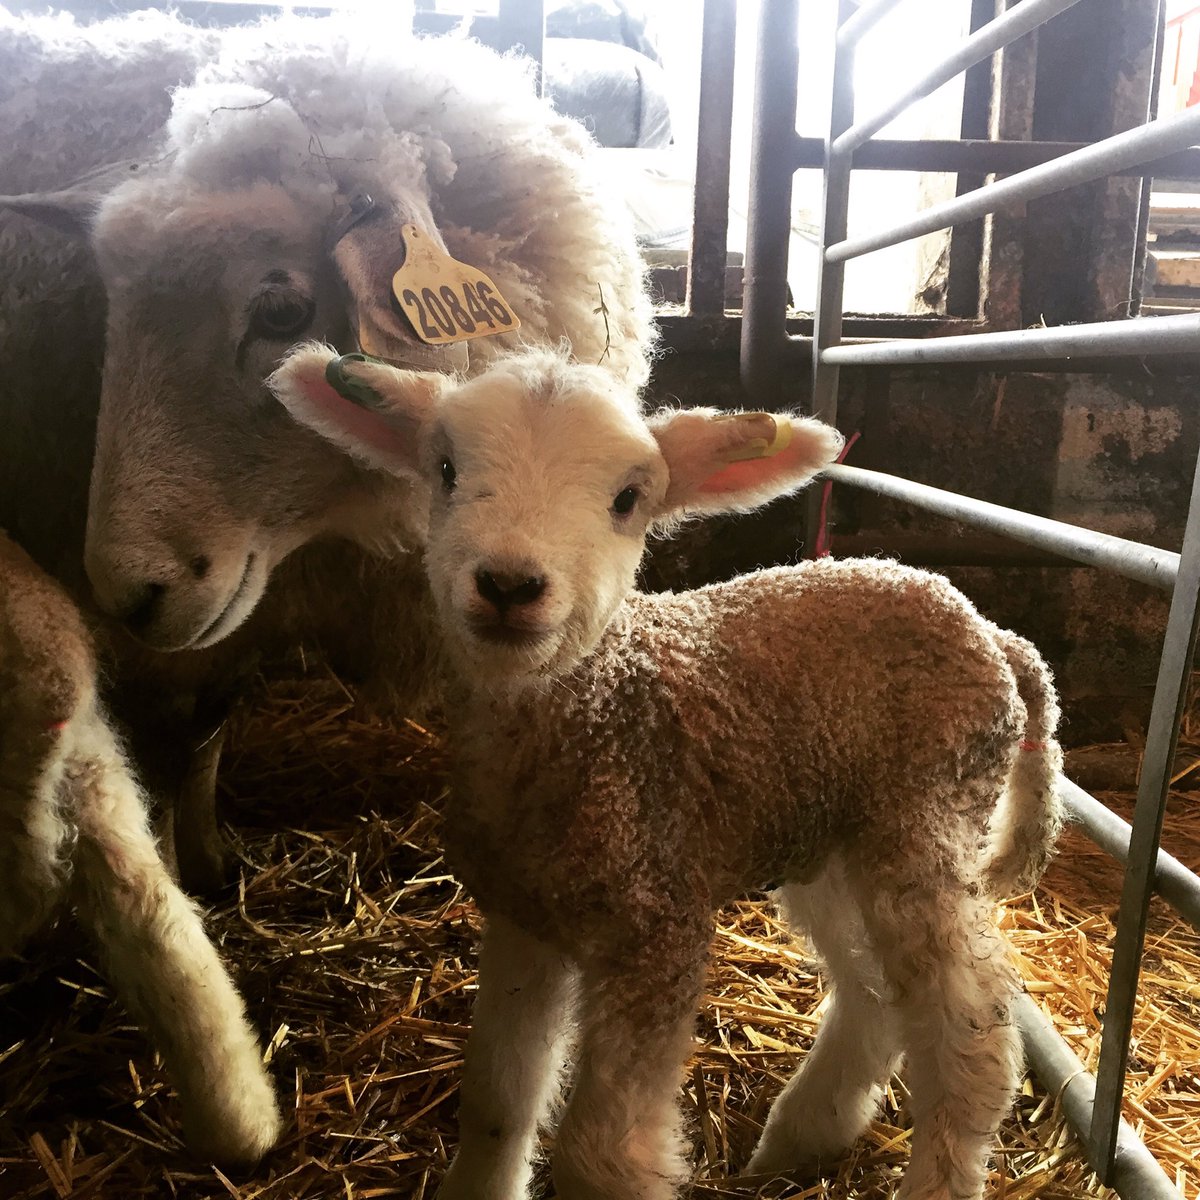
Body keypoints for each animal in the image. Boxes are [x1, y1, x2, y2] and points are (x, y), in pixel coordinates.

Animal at [0, 6, 654, 891]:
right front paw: (185, 872)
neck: (337, 528)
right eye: (112, 306)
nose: (127, 594)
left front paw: (208, 858)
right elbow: (173, 745)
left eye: (282, 312)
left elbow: (207, 727)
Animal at [268, 344, 1065, 1200]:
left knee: (971, 1038)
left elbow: (599, 1155)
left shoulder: (657, 925)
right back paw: (800, 1138)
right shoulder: (523, 918)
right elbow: (497, 1101)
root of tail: (991, 632)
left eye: (627, 499)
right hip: (830, 835)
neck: (595, 714)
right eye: (445, 469)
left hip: (927, 817)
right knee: (876, 994)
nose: (509, 585)